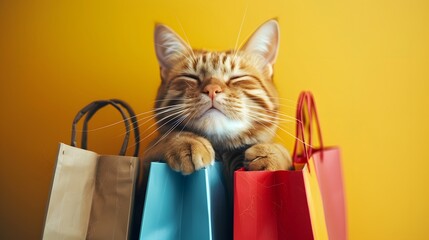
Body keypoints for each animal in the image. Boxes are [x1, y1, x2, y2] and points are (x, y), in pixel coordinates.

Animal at [142, 19, 292, 178]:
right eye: (191, 77)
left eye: (237, 78)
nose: (212, 89)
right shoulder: (145, 162)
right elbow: (161, 140)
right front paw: (185, 142)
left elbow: (284, 152)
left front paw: (271, 152)